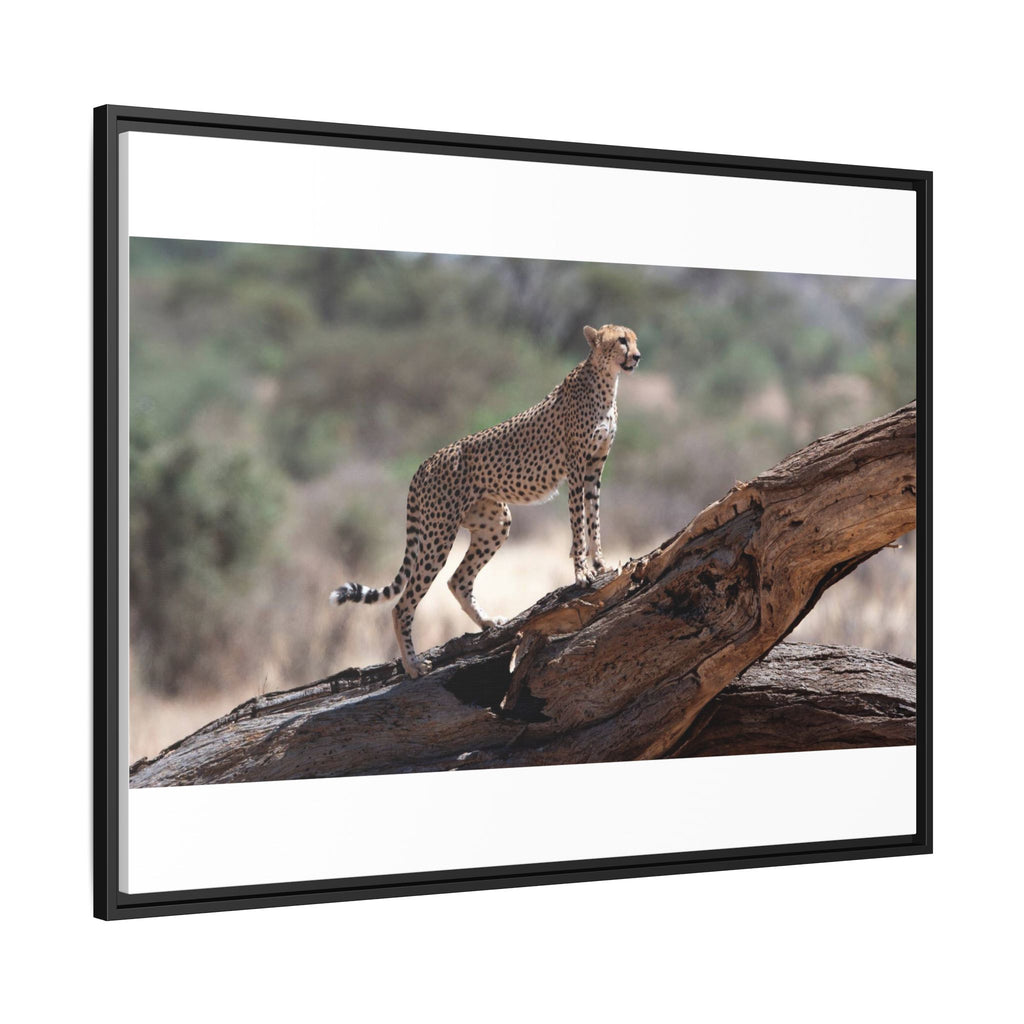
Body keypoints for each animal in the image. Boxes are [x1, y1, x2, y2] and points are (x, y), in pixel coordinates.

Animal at [330, 323, 641, 678]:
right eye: (621, 341)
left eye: (634, 339)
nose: (637, 356)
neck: (606, 380)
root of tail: (425, 463)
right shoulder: (576, 469)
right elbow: (578, 523)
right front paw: (582, 572)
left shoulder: (594, 469)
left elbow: (594, 518)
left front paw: (601, 563)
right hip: (438, 535)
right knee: (403, 603)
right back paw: (412, 664)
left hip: (494, 522)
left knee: (458, 580)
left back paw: (488, 623)